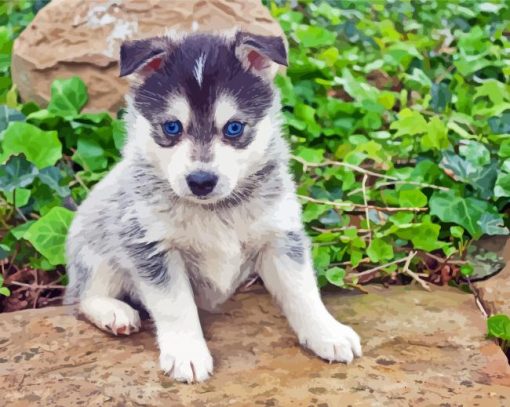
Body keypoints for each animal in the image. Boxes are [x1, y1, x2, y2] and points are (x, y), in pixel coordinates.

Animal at [63, 30, 360, 384]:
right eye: (172, 127)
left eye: (234, 127)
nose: (201, 181)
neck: (215, 210)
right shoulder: (150, 245)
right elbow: (175, 305)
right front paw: (187, 353)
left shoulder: (280, 235)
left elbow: (302, 289)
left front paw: (327, 333)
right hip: (95, 247)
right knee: (82, 296)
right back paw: (114, 312)